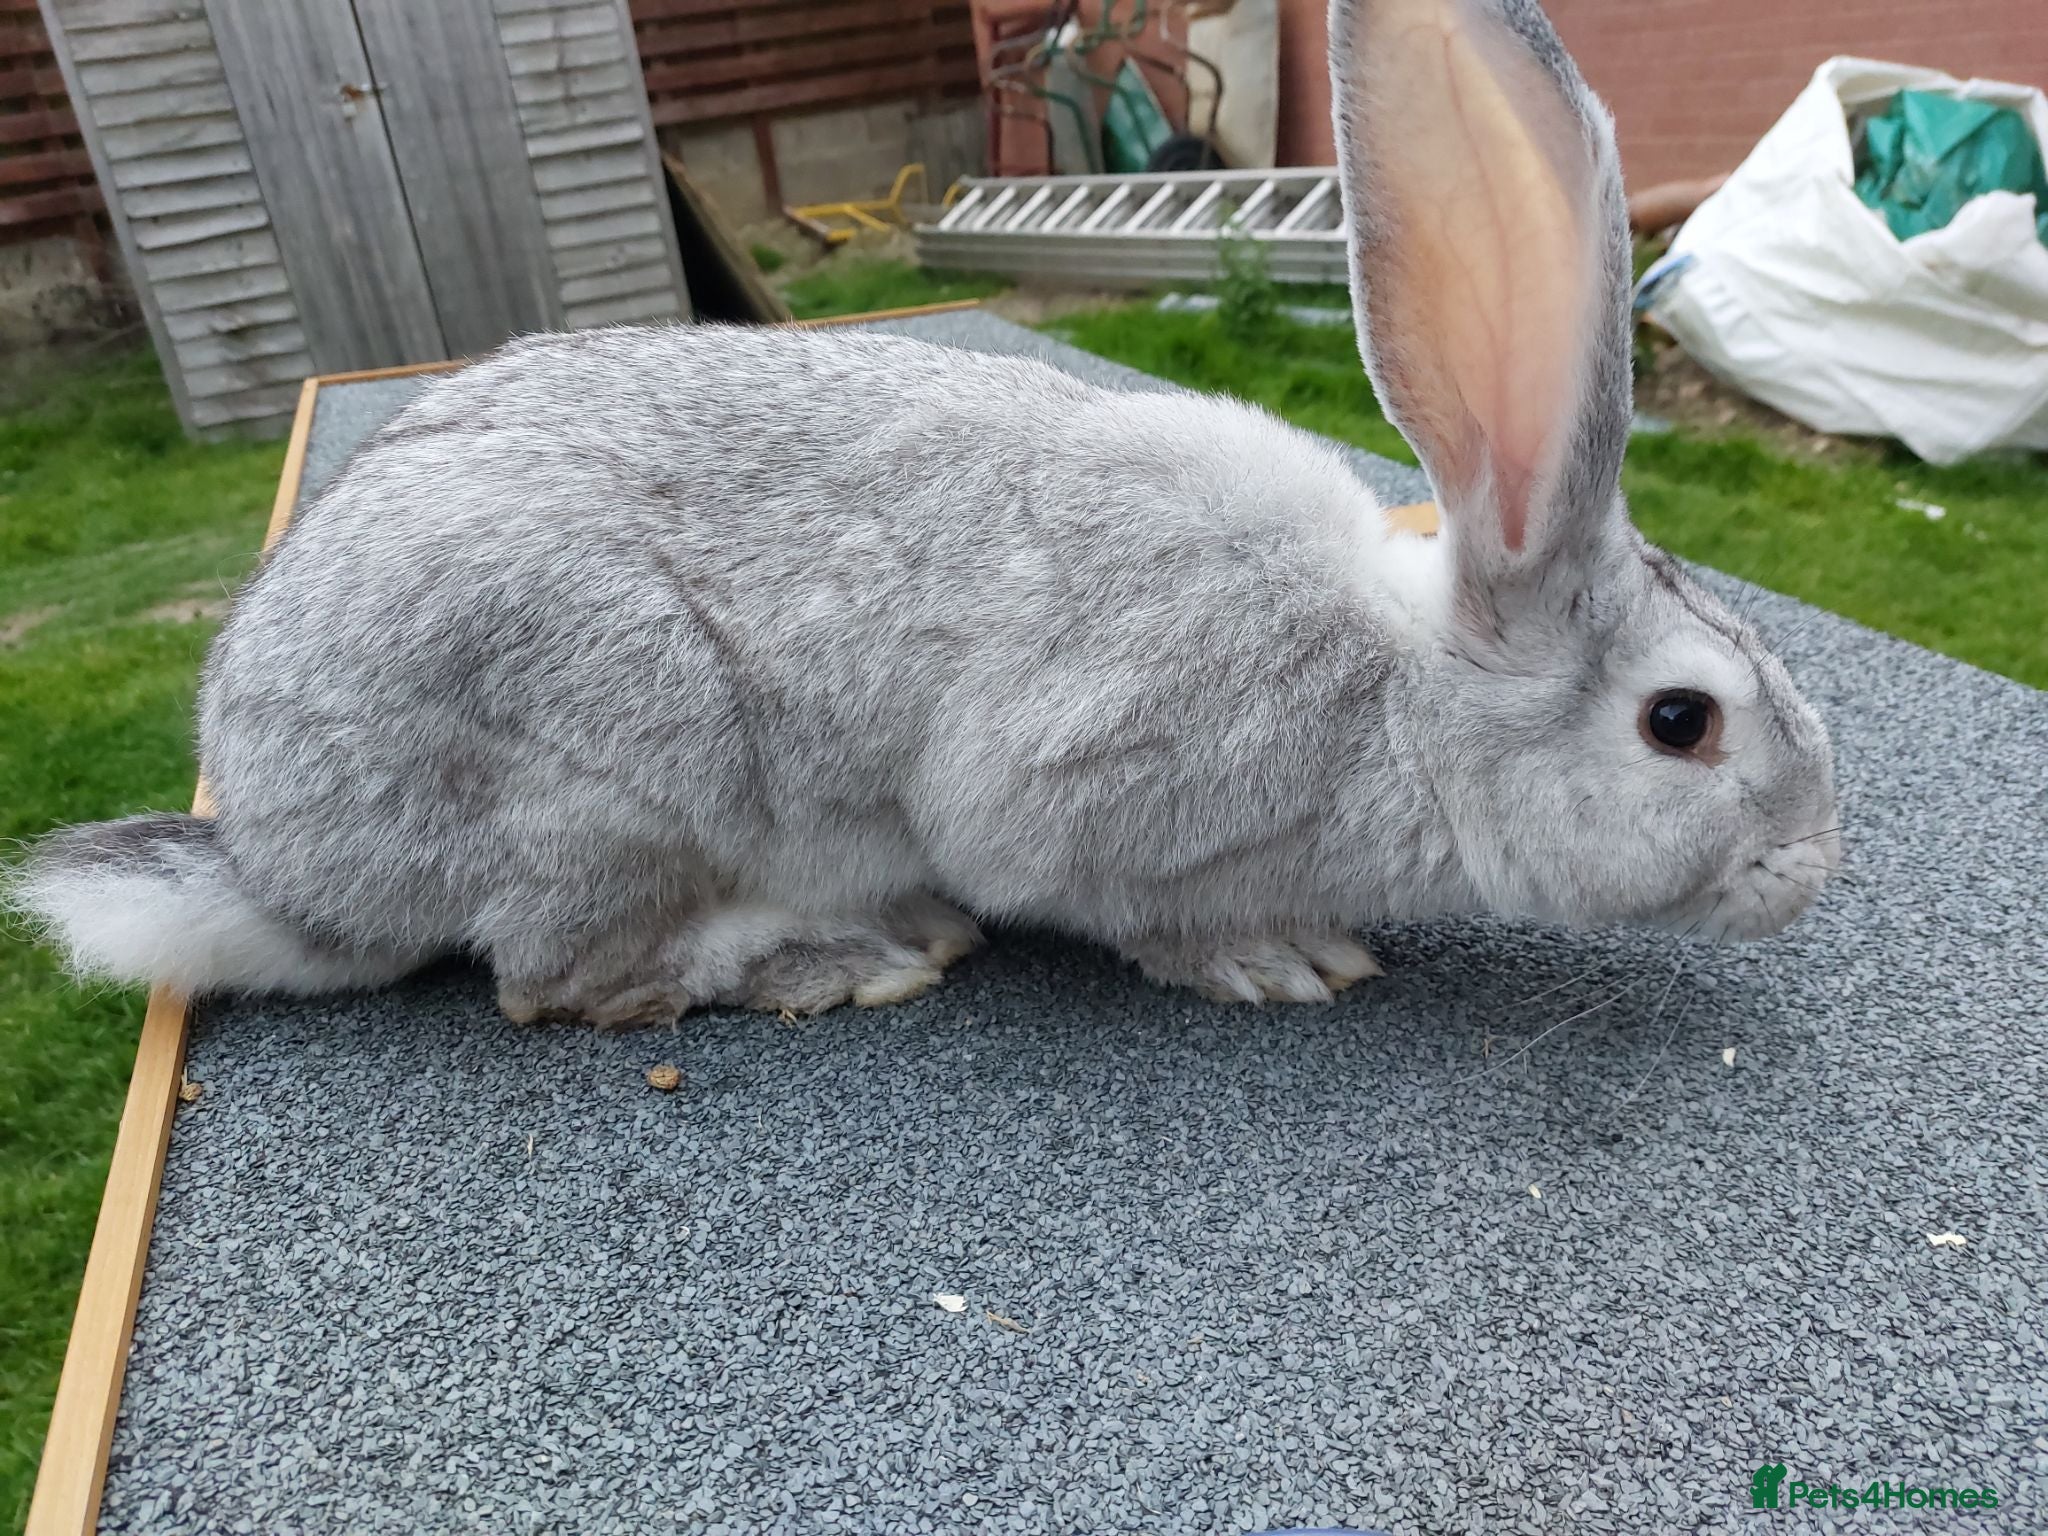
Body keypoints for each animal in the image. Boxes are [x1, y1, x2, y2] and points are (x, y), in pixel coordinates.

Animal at [12, 0, 1840, 1025]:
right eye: (1681, 723)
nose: (1813, 871)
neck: (1403, 697)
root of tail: (277, 860)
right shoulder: (1079, 788)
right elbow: (1115, 904)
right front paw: (1276, 961)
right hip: (614, 751)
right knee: (555, 981)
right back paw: (848, 952)